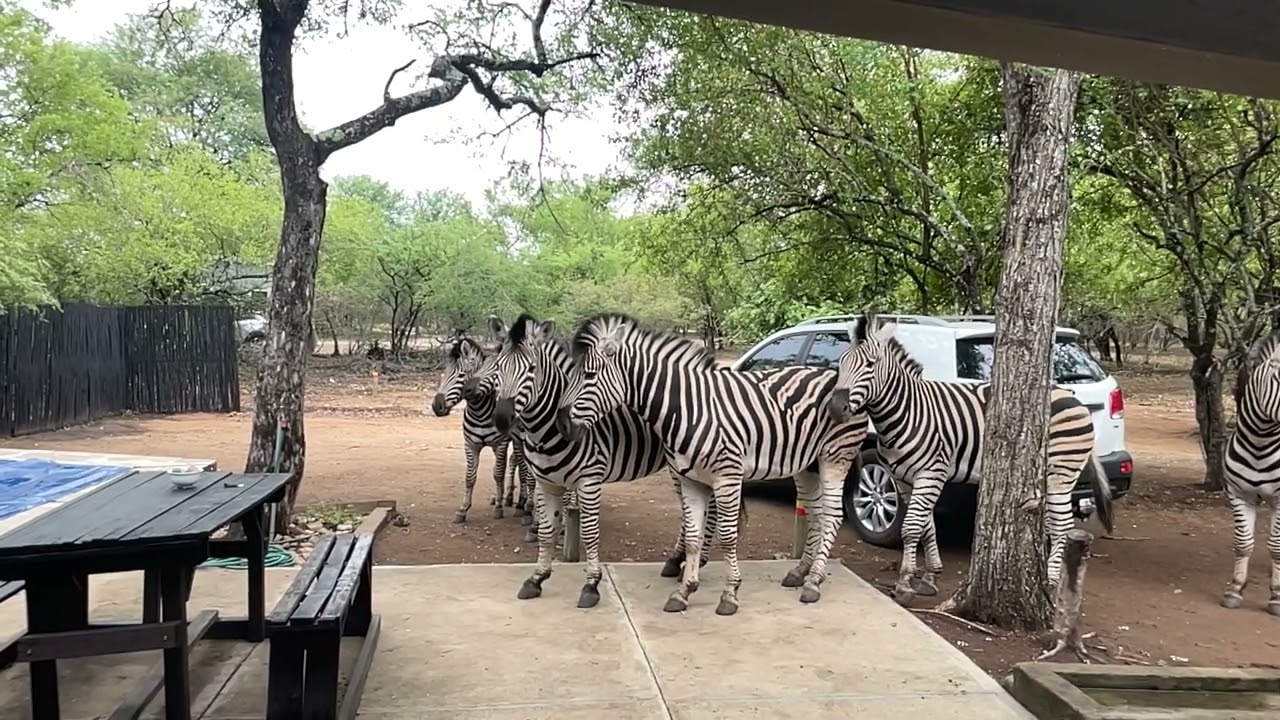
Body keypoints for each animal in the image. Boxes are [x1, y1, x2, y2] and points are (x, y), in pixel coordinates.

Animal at [429, 323, 534, 526]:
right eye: (444, 373)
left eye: (461, 375)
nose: (437, 407)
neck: (479, 413)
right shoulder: (470, 444)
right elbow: (470, 476)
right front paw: (463, 509)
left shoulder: (500, 444)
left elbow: (498, 473)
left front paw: (499, 509)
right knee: (515, 462)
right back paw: (509, 497)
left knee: (520, 466)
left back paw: (518, 502)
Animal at [468, 313, 720, 607]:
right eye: (498, 366)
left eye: (531, 369)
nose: (501, 419)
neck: (545, 429)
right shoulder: (546, 482)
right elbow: (546, 531)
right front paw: (536, 578)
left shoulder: (589, 481)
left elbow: (589, 532)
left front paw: (591, 585)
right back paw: (675, 561)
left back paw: (696, 562)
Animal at [557, 312, 869, 616]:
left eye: (589, 375)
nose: (561, 423)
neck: (686, 408)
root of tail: (835, 375)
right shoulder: (690, 479)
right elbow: (693, 536)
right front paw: (683, 591)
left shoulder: (727, 476)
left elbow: (728, 536)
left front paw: (730, 594)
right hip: (807, 465)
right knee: (816, 513)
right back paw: (800, 572)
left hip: (835, 456)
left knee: (832, 515)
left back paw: (814, 582)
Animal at [824, 311, 1114, 606]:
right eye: (841, 363)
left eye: (870, 365)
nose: (836, 408)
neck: (907, 411)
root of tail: (1074, 398)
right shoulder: (905, 478)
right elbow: (926, 526)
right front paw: (930, 577)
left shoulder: (931, 473)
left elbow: (911, 528)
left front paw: (905, 585)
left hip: (1061, 471)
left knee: (1062, 526)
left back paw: (1052, 583)